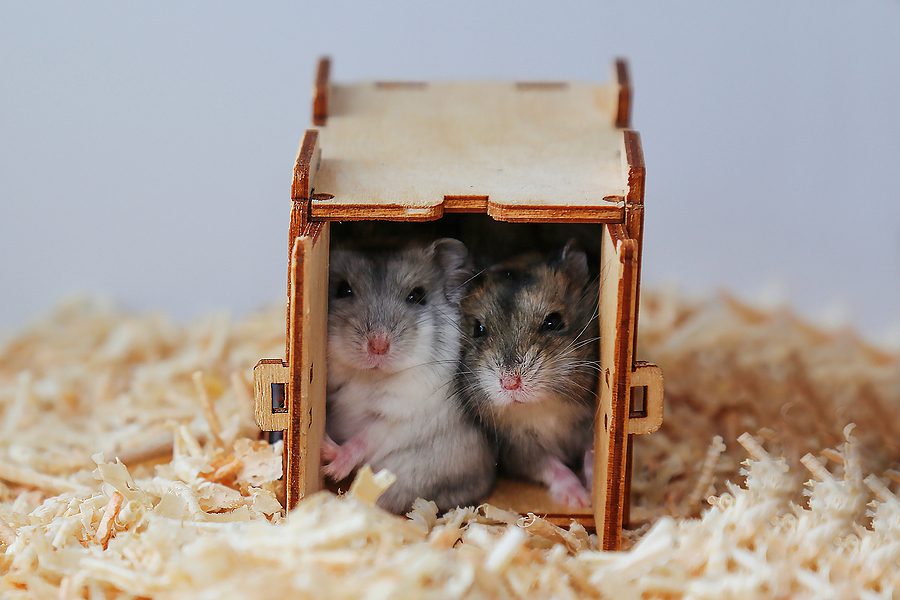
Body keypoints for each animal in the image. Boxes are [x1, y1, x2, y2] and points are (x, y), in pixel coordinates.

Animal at [323, 237, 496, 514]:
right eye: (343, 290)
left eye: (417, 296)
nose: (378, 346)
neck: (369, 377)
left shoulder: (400, 417)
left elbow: (365, 438)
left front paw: (331, 462)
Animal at [456, 242, 598, 507]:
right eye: (478, 329)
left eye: (554, 321)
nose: (510, 383)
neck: (542, 406)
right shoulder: (518, 449)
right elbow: (552, 467)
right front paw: (578, 500)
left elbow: (591, 452)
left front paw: (593, 490)